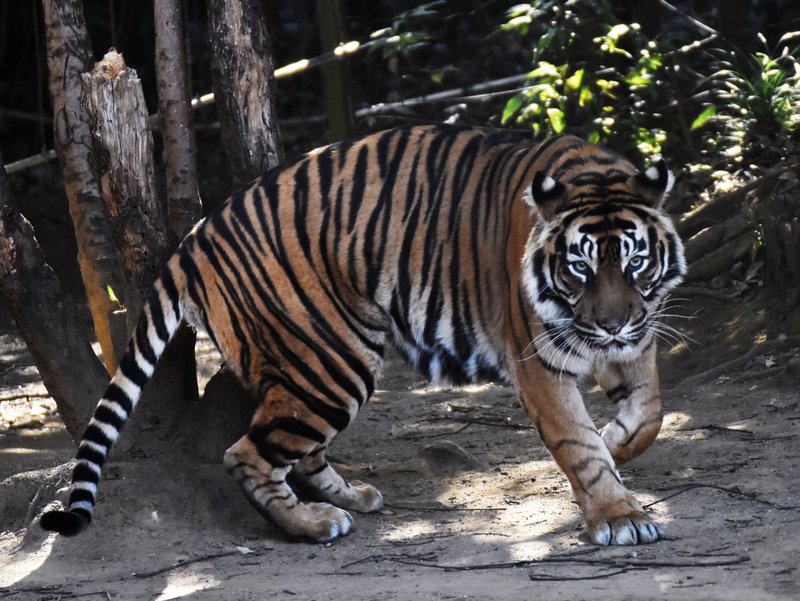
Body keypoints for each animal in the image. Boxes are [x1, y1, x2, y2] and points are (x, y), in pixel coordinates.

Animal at [39, 124, 688, 548]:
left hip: (327, 363)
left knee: (296, 450)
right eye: (579, 267)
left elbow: (649, 413)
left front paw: (615, 441)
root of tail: (195, 237)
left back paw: (351, 499)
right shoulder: (540, 362)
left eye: (635, 263)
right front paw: (618, 514)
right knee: (247, 453)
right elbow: (577, 443)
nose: (610, 323)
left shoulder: (640, 337)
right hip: (330, 361)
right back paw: (314, 525)